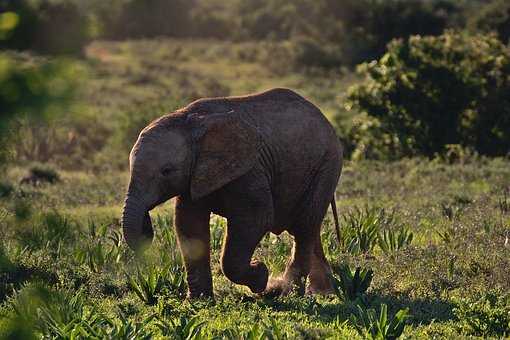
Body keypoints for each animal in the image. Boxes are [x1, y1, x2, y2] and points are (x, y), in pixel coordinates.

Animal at [121, 87, 342, 298]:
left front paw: (261, 276)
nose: (146, 228)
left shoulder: (250, 170)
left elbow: (257, 219)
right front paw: (199, 301)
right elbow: (189, 223)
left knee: (305, 225)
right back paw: (321, 293)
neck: (188, 121)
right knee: (307, 229)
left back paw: (288, 293)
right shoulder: (196, 173)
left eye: (166, 171)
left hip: (327, 165)